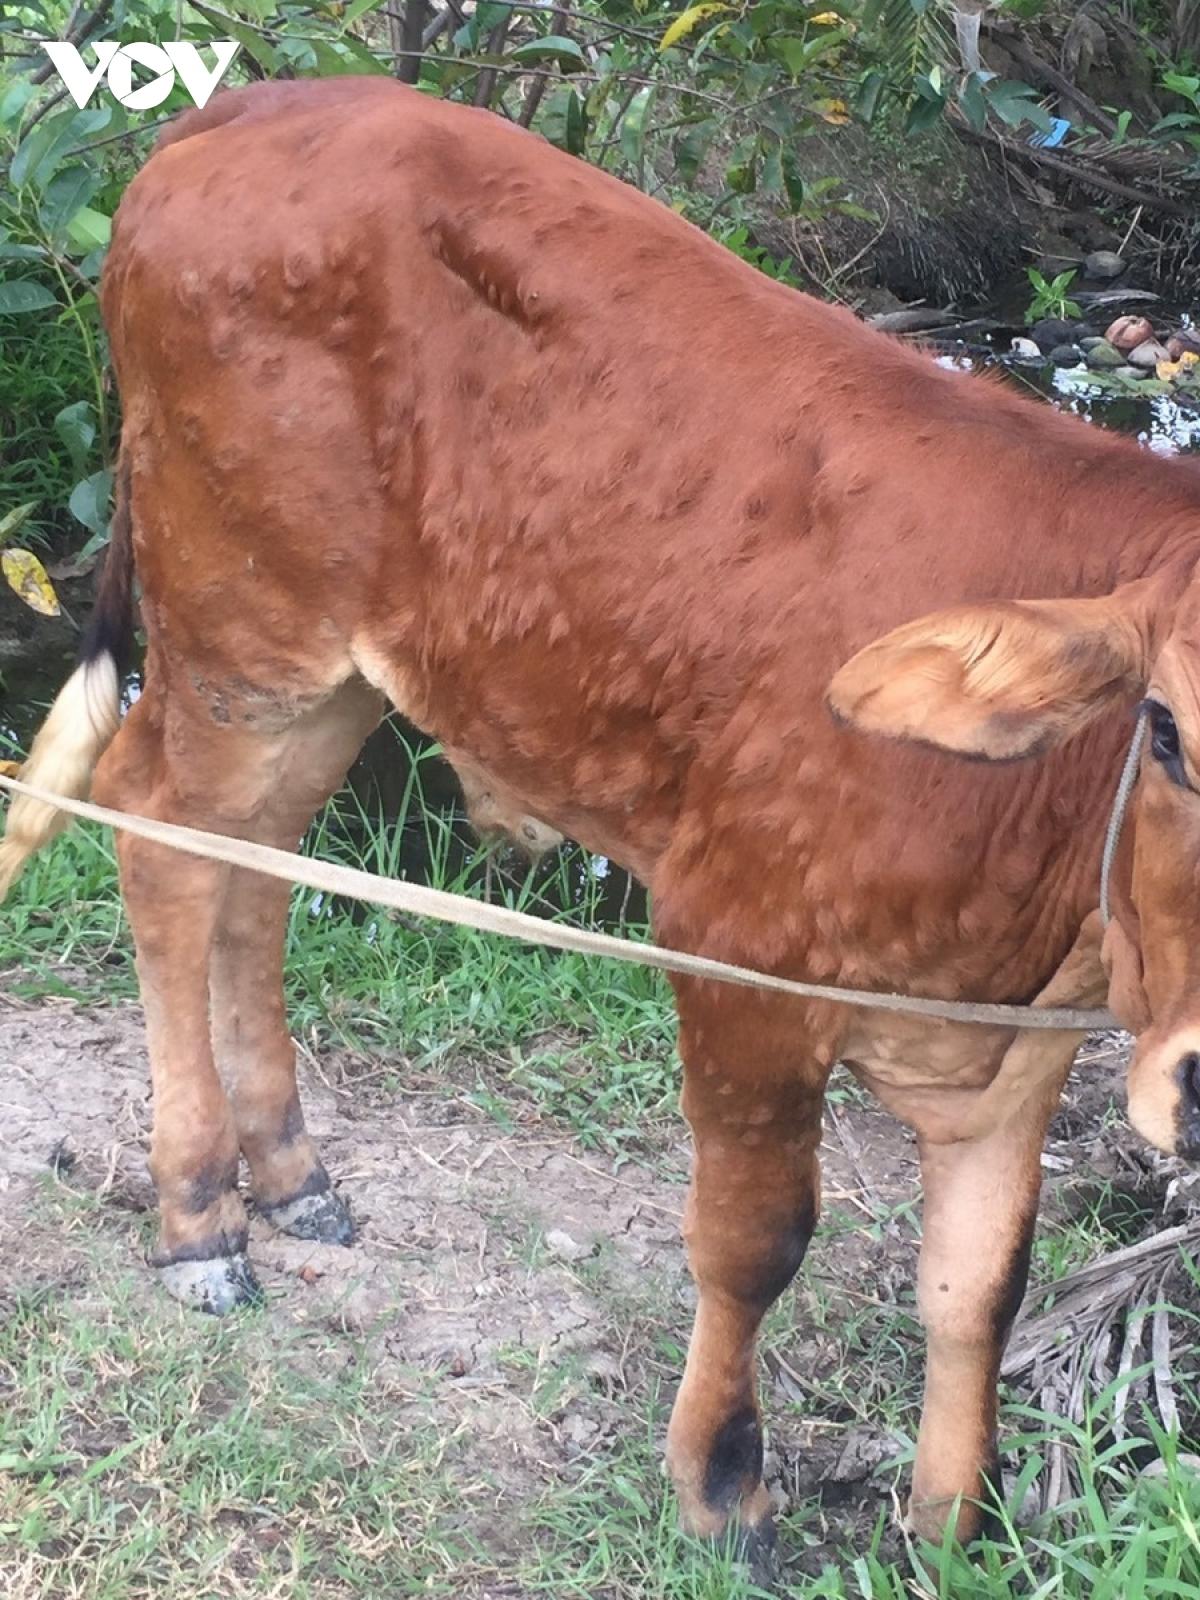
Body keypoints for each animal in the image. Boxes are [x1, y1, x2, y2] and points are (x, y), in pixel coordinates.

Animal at [2, 75, 1200, 1561]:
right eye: (1168, 730)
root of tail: (252, 105)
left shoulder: (1020, 1044)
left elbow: (982, 1280)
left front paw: (946, 1529)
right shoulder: (736, 945)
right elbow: (758, 1238)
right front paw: (724, 1490)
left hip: (336, 677)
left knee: (255, 862)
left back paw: (286, 1175)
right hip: (239, 628)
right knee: (161, 833)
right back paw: (197, 1222)